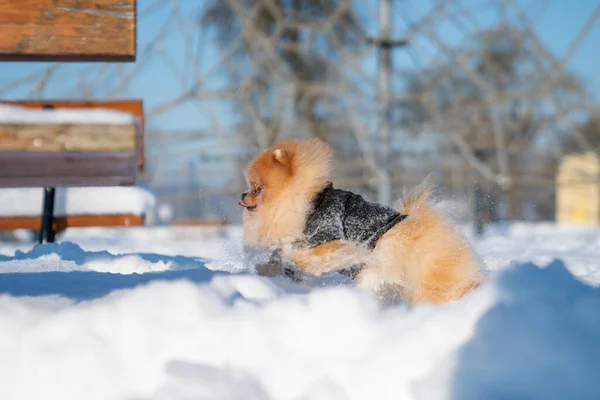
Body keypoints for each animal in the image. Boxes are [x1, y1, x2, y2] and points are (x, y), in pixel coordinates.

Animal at [239, 138, 482, 304]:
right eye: (250, 187)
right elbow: (279, 259)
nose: (242, 194)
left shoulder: (335, 241)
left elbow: (304, 258)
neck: (309, 203)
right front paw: (268, 269)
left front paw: (288, 258)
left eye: (258, 189)